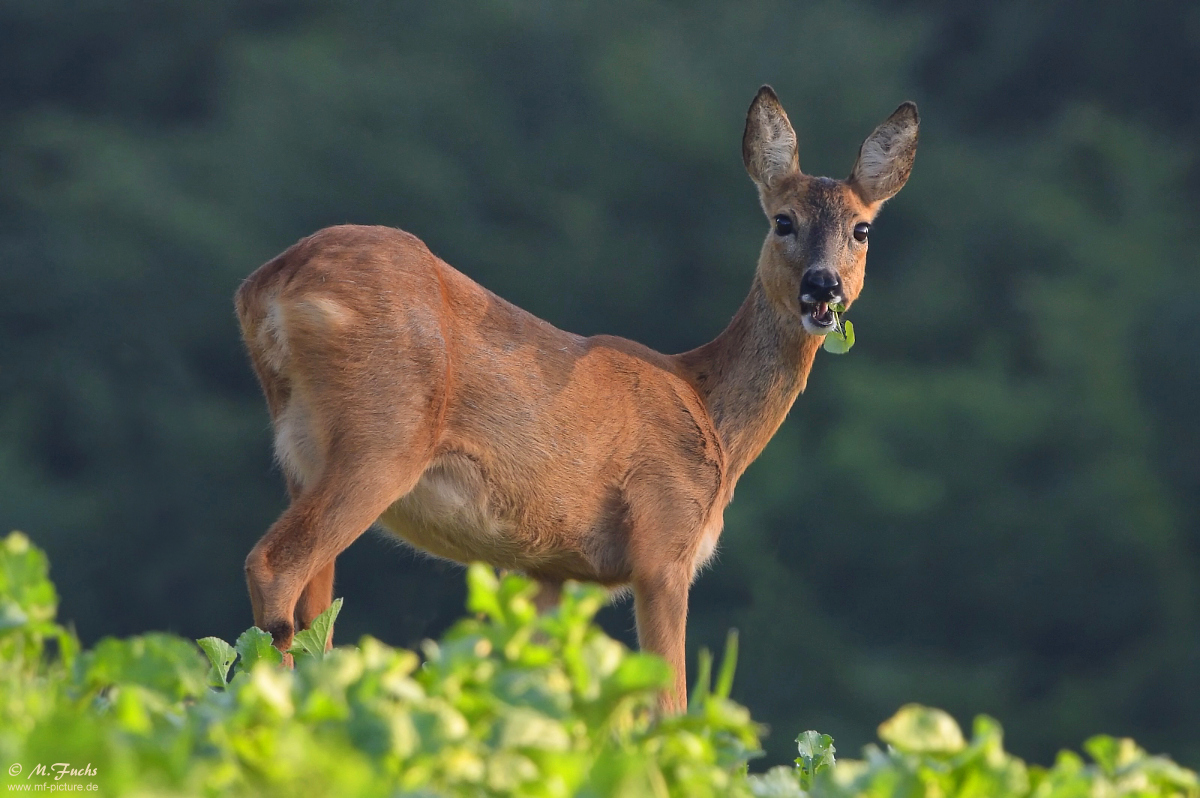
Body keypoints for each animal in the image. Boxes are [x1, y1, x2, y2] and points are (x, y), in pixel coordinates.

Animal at [234, 87, 916, 710]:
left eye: (861, 229)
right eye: (782, 220)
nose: (822, 287)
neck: (713, 418)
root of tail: (267, 285)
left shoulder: (551, 571)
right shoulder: (662, 542)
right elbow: (667, 706)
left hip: (303, 453)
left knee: (317, 613)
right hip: (381, 435)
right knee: (274, 565)